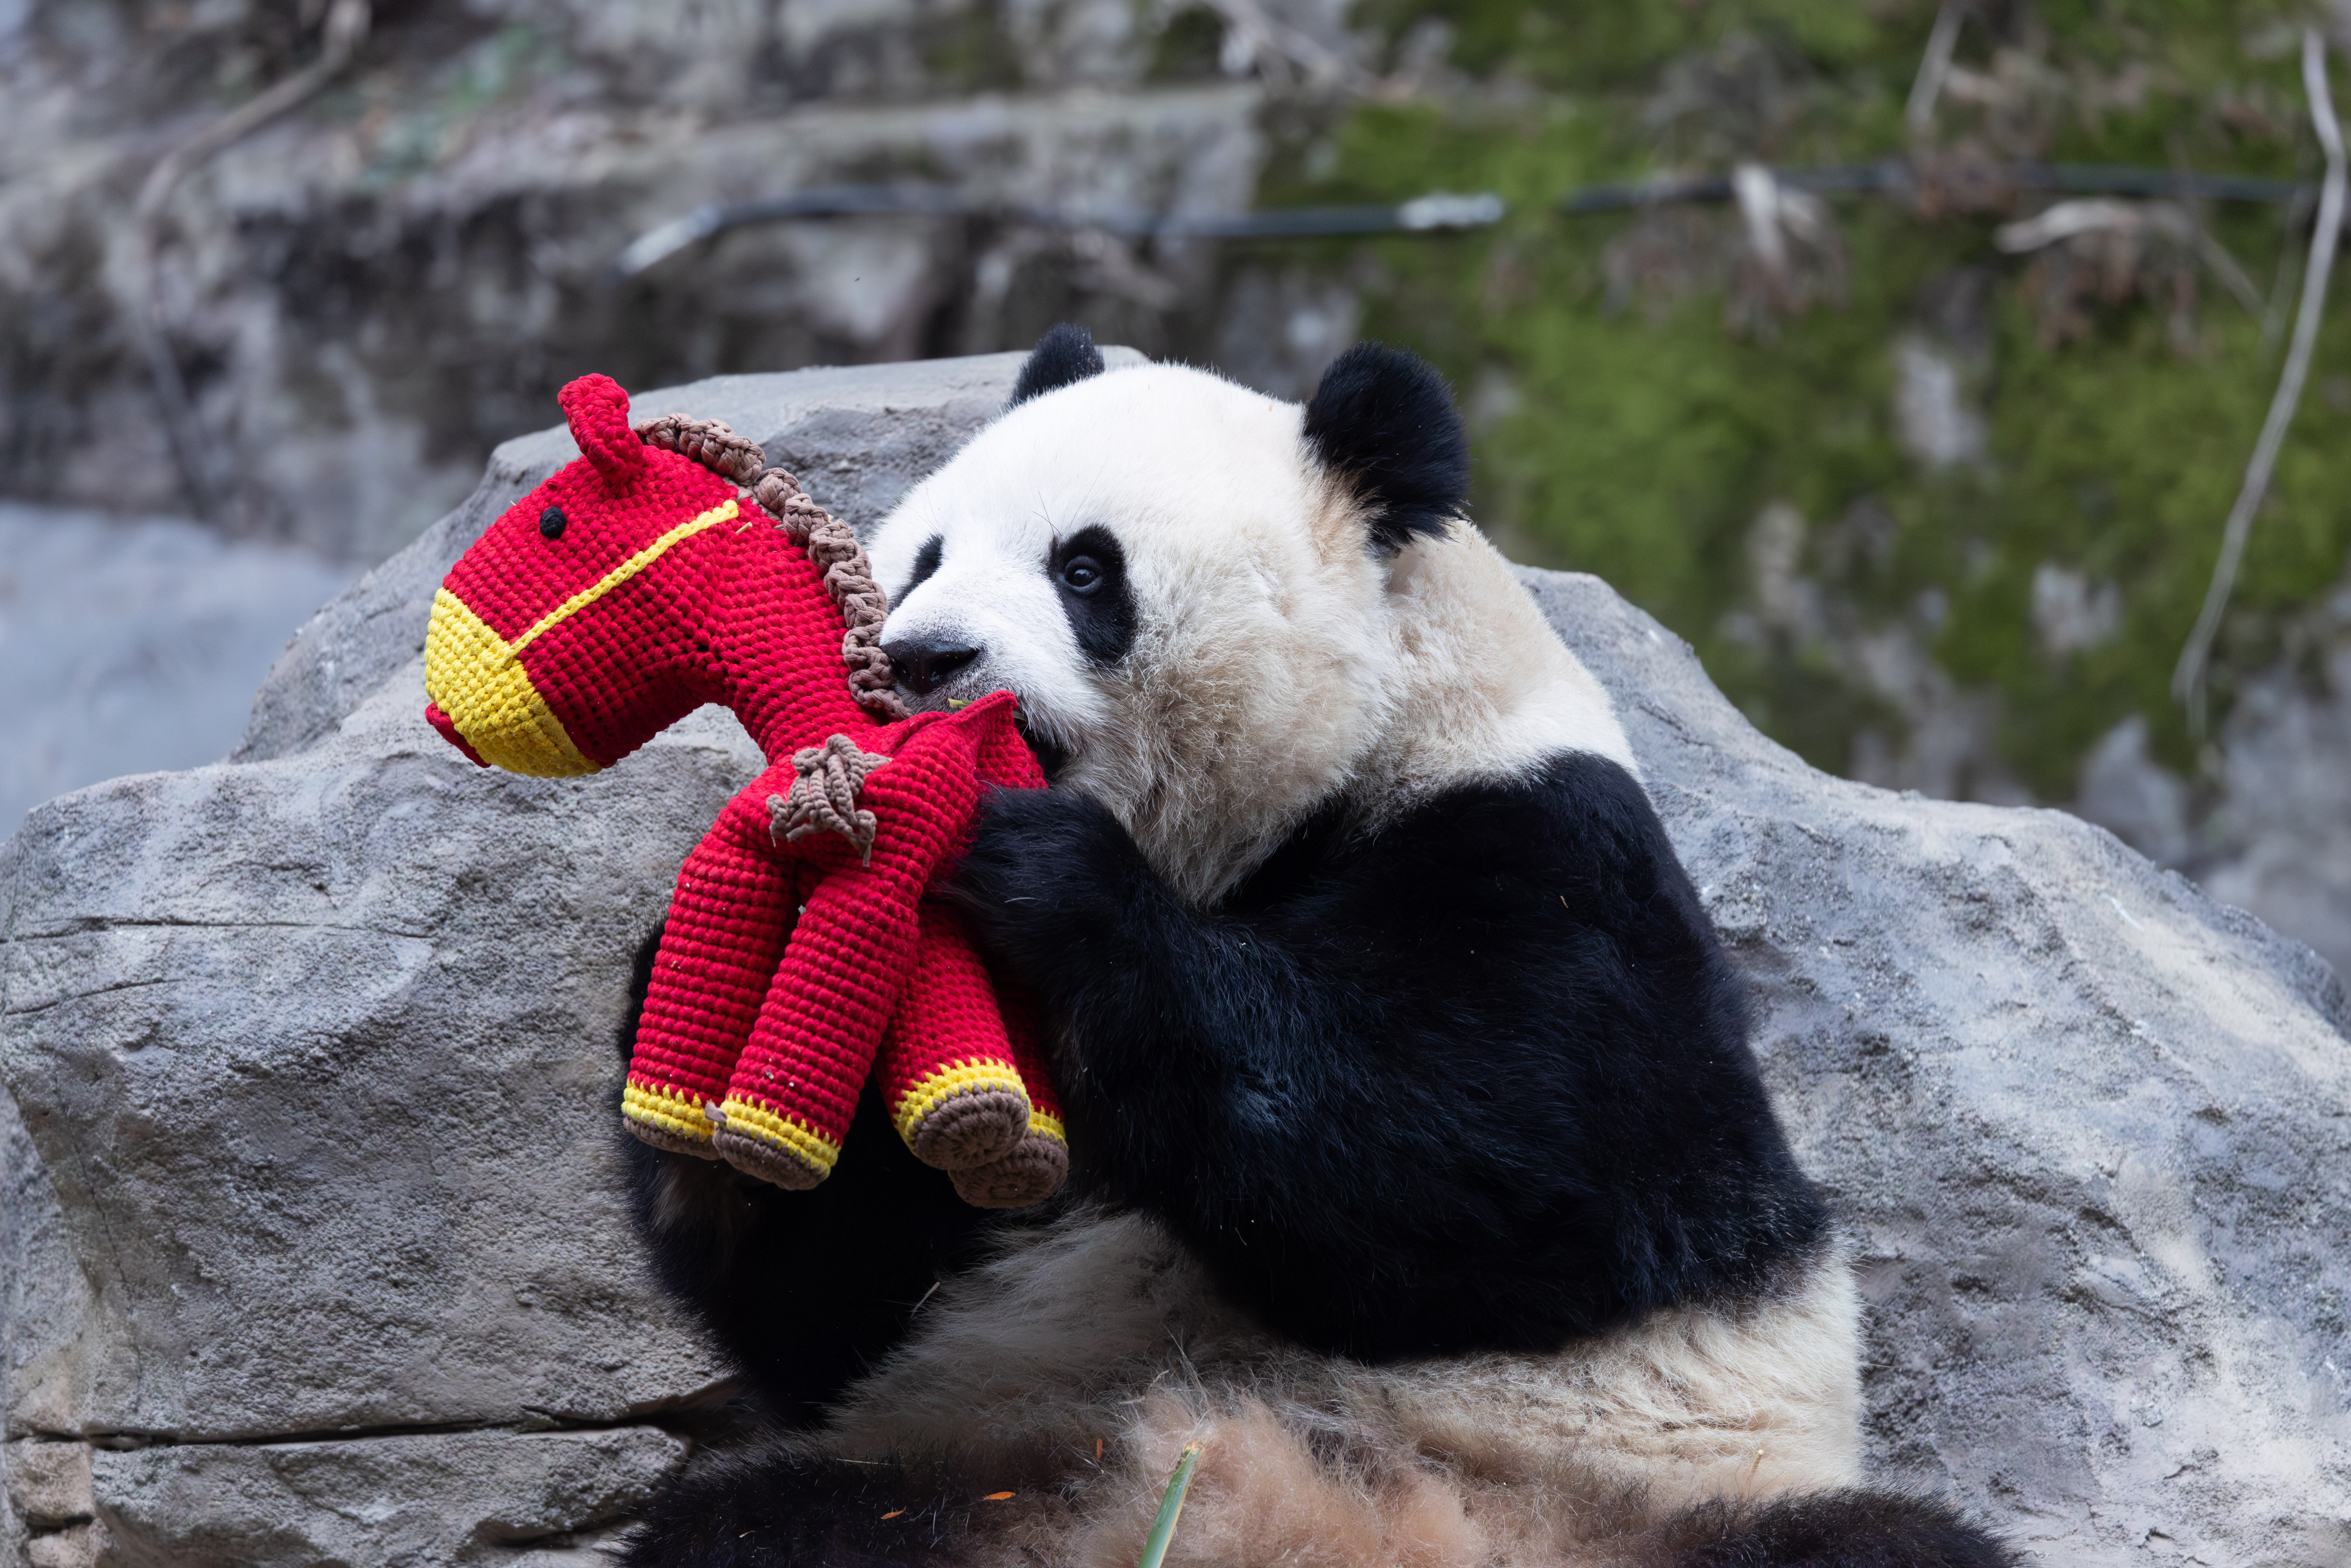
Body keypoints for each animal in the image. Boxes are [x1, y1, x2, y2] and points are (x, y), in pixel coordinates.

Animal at [616, 327, 2014, 1568]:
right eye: (921, 562)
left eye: (1085, 570)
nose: (920, 655)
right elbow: (825, 1315)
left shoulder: (1554, 858)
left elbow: (1487, 1163)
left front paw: (1047, 877)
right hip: (971, 1469)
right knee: (744, 1530)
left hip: (1655, 1496)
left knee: (1880, 1547)